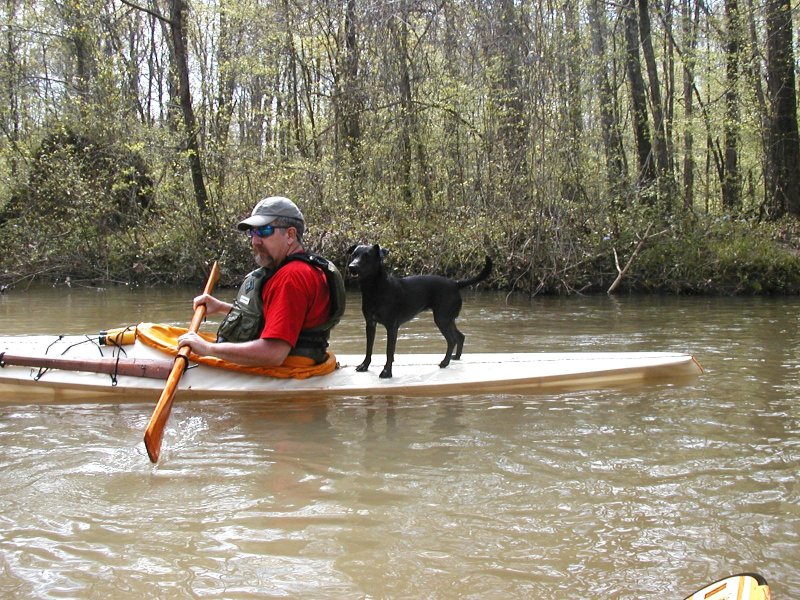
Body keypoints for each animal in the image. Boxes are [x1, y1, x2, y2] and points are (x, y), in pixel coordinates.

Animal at [346, 243, 490, 376]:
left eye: (367, 256)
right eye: (353, 255)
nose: (352, 267)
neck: (375, 289)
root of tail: (455, 283)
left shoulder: (392, 327)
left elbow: (389, 351)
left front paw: (387, 372)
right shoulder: (370, 324)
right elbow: (369, 348)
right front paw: (364, 366)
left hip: (442, 319)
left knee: (452, 340)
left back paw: (445, 362)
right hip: (448, 318)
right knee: (460, 336)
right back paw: (456, 357)